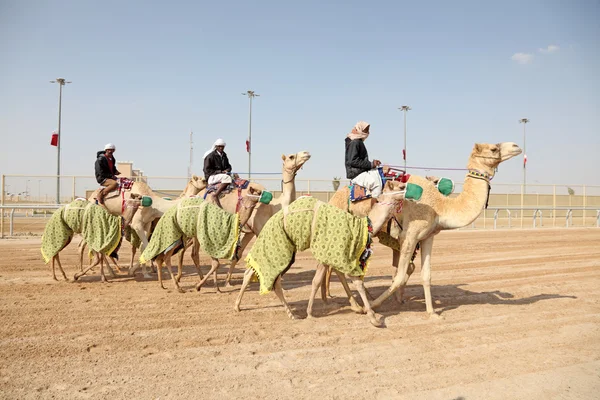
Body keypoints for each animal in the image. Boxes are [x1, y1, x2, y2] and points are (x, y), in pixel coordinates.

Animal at [192, 152, 312, 286]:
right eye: (291, 156)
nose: (306, 153)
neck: (274, 206)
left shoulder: (251, 231)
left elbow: (239, 254)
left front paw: (228, 282)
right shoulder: (260, 230)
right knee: (197, 251)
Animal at [233, 189, 408, 326]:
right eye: (391, 194)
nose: (403, 193)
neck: (361, 226)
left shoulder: (331, 255)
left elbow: (319, 280)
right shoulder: (337, 253)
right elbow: (352, 281)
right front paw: (373, 318)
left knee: (253, 273)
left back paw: (240, 306)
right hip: (279, 249)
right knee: (272, 280)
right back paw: (291, 314)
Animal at [368, 142, 524, 318]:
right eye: (493, 149)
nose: (516, 145)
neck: (439, 207)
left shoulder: (427, 237)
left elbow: (426, 275)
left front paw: (432, 313)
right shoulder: (409, 236)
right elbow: (400, 276)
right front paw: (370, 307)